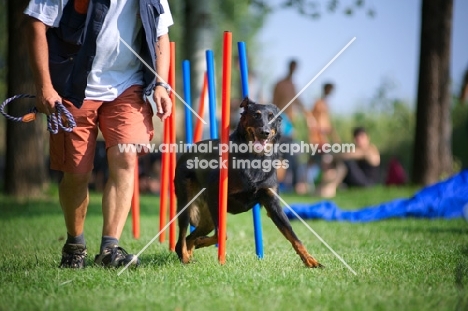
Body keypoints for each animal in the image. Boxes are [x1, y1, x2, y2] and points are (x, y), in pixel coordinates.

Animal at [174, 97, 324, 268]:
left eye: (272, 117)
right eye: (256, 115)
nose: (265, 132)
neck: (254, 158)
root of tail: (186, 152)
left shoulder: (272, 203)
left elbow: (293, 236)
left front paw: (311, 260)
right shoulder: (215, 194)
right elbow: (222, 235)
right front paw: (202, 244)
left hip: (208, 219)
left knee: (189, 238)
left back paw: (190, 251)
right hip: (188, 205)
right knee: (181, 238)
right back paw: (185, 257)